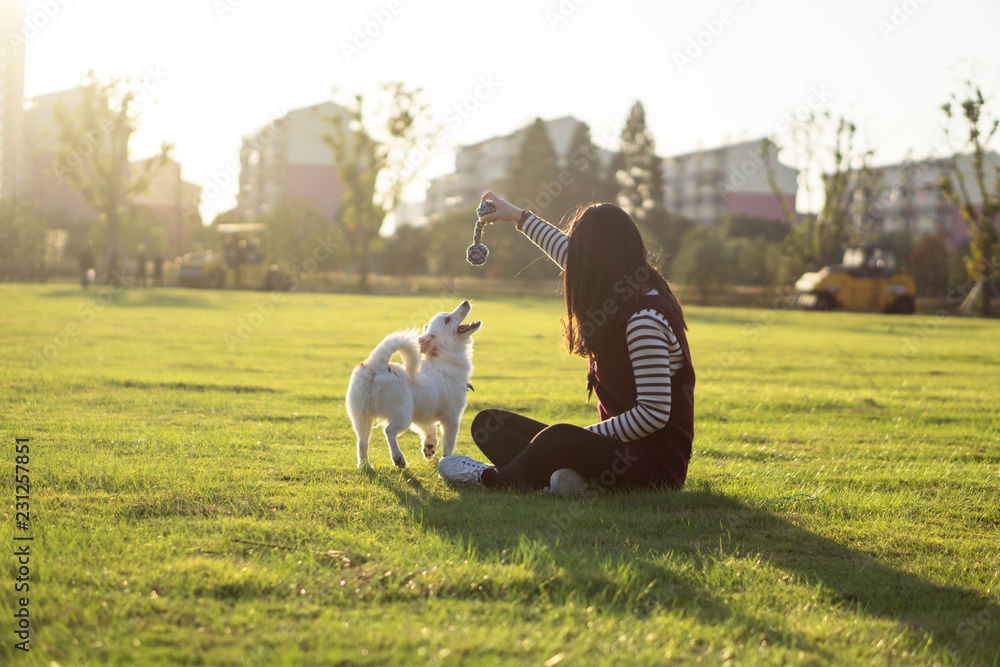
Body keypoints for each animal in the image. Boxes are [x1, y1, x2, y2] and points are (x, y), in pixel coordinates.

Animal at [346, 302, 482, 470]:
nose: (465, 303)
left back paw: (365, 466)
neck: (444, 360)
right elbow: (448, 447)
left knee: (362, 443)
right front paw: (446, 464)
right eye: (447, 320)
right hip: (403, 416)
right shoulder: (452, 419)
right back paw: (398, 458)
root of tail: (376, 365)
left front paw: (429, 446)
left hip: (361, 418)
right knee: (388, 430)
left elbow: (430, 428)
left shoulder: (422, 415)